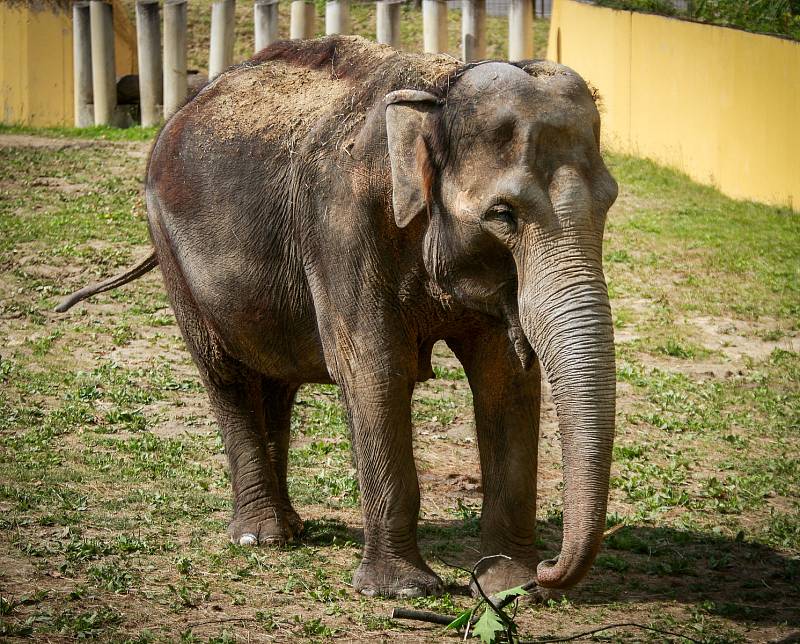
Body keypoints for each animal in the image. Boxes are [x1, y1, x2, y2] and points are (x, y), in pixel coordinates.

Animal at [57, 35, 620, 600]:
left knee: (275, 380)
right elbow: (375, 370)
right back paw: (260, 538)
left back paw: (290, 528)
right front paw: (402, 591)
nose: (550, 568)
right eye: (502, 214)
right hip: (171, 250)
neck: (439, 91)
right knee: (225, 373)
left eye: (609, 203)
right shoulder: (341, 223)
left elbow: (504, 377)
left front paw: (510, 586)